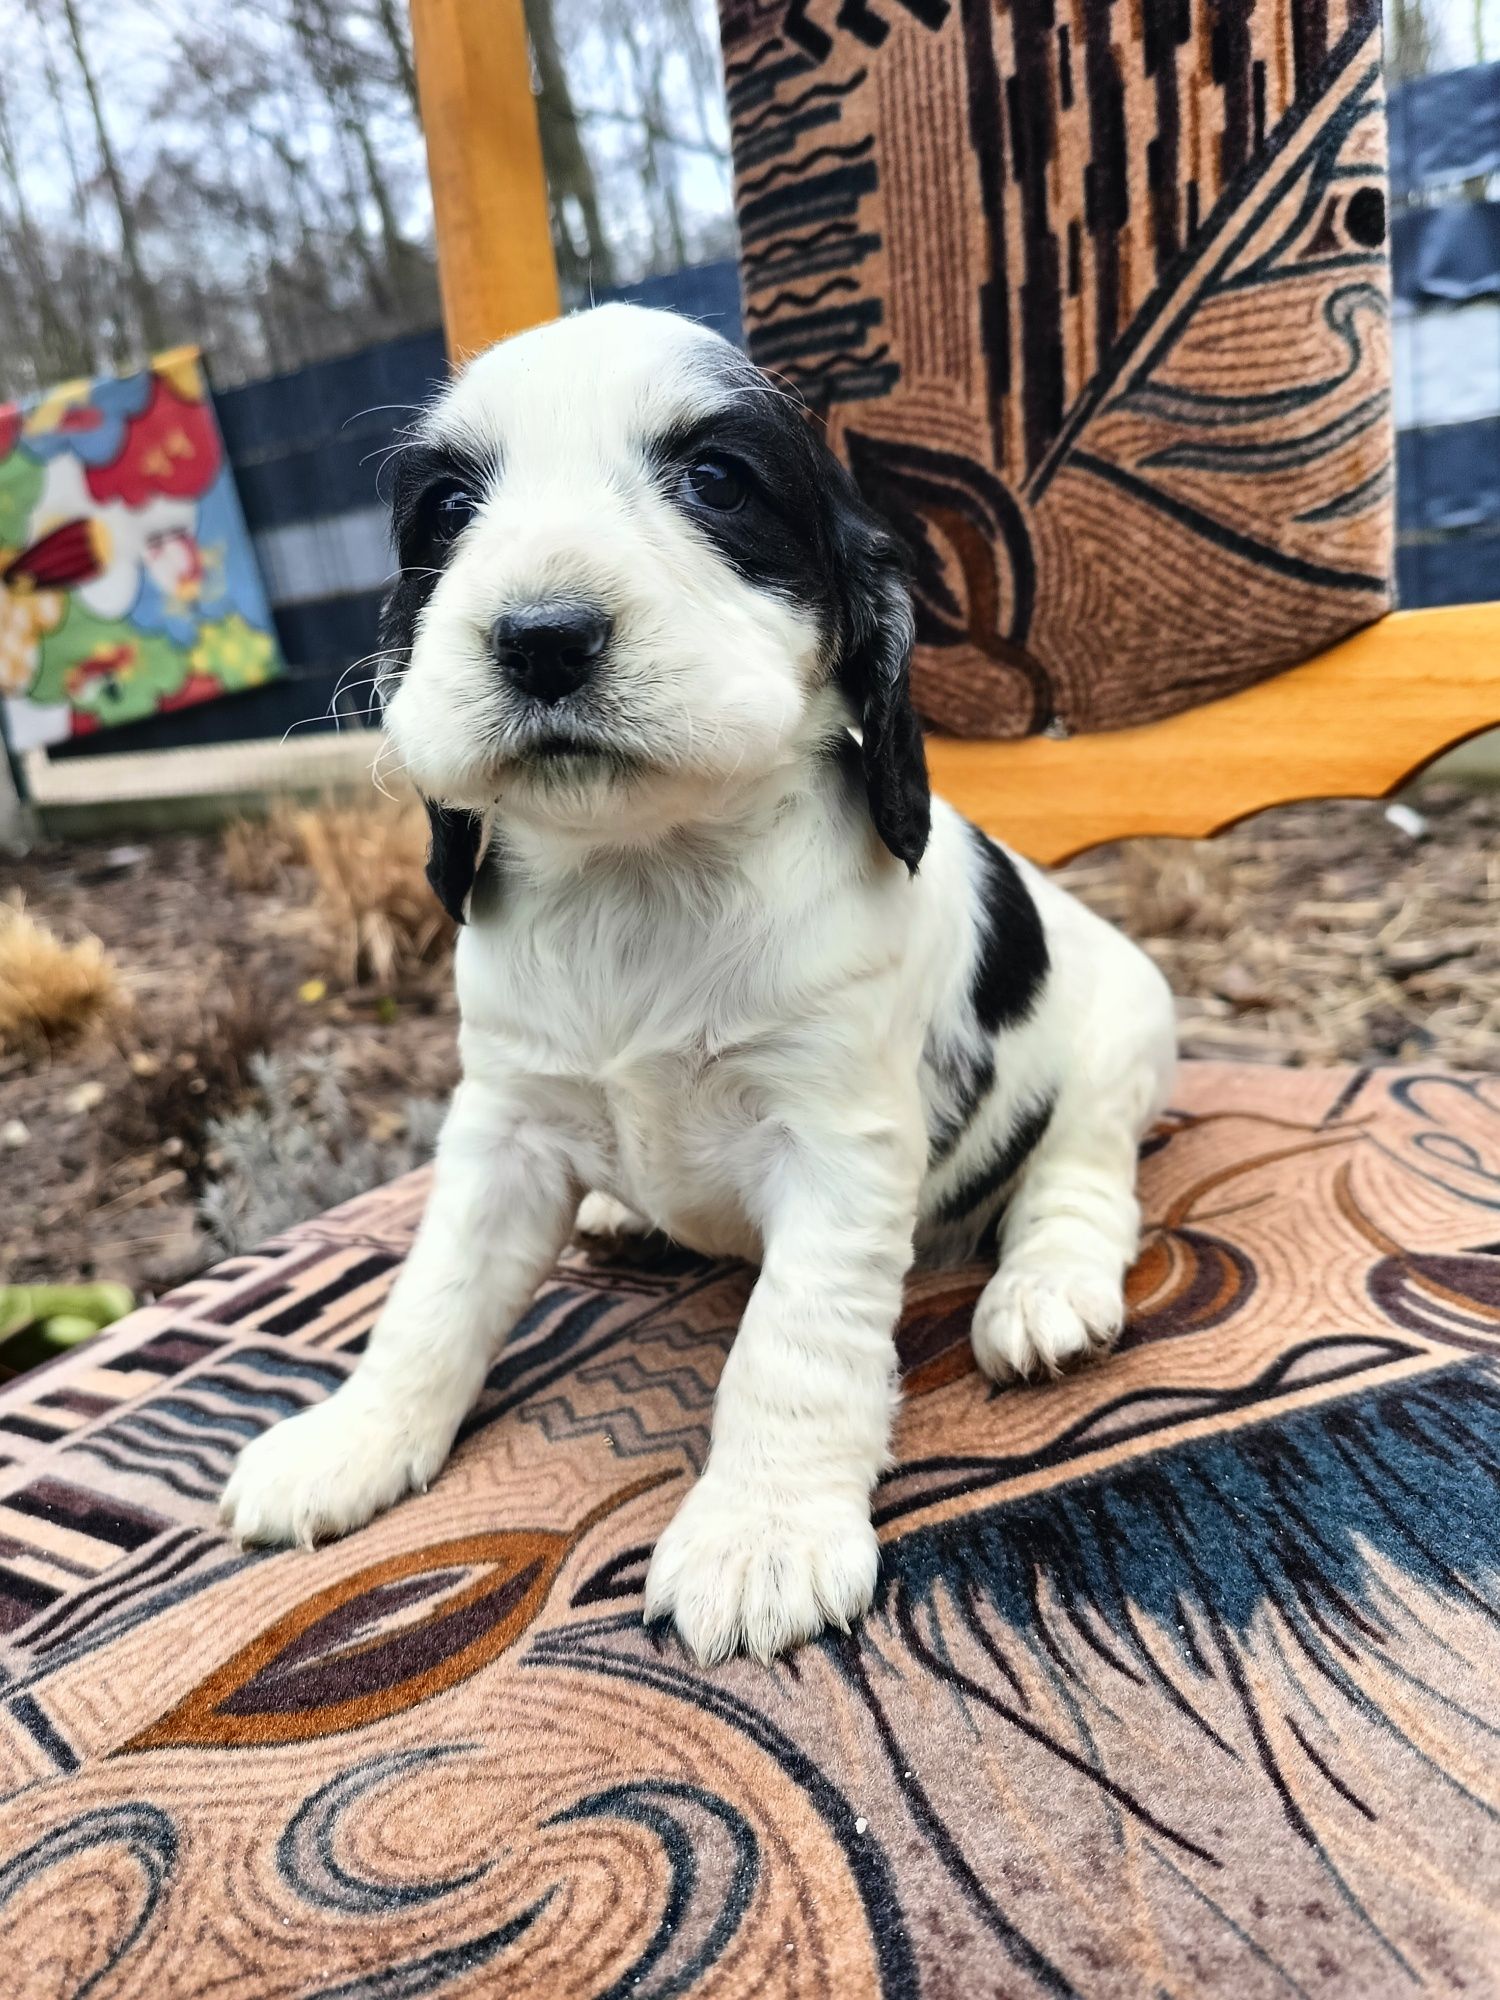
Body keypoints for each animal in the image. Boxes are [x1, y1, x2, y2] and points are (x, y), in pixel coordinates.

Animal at [223, 304, 1184, 1664]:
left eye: (718, 482)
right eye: (449, 509)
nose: (542, 635)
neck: (643, 874)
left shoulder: (839, 1141)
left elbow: (792, 1338)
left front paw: (762, 1531)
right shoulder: (501, 1126)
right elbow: (434, 1293)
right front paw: (355, 1438)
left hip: (1122, 1030)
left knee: (1082, 1174)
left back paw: (1044, 1289)